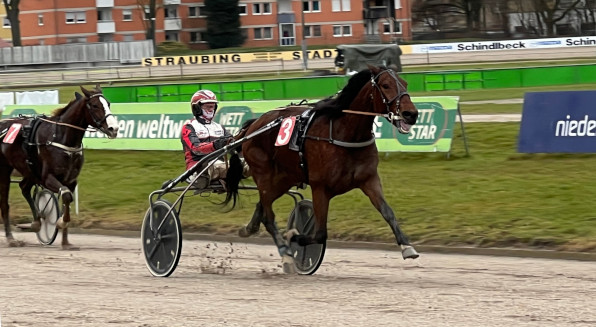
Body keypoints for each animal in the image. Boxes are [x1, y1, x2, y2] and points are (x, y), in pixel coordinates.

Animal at [0, 84, 118, 249]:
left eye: (108, 103)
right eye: (95, 105)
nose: (114, 128)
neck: (61, 137)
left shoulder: (71, 180)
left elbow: (67, 201)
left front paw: (65, 241)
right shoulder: (48, 177)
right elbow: (66, 196)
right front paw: (61, 222)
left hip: (30, 170)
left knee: (24, 188)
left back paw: (36, 222)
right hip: (5, 170)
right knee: (5, 204)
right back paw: (11, 239)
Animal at [226, 66, 422, 272]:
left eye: (405, 83)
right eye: (385, 85)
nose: (411, 114)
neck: (344, 133)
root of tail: (252, 126)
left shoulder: (369, 180)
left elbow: (388, 212)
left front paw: (407, 246)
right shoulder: (320, 187)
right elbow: (319, 233)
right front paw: (293, 237)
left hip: (284, 179)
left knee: (263, 205)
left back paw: (249, 228)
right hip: (264, 174)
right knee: (269, 216)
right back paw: (285, 254)